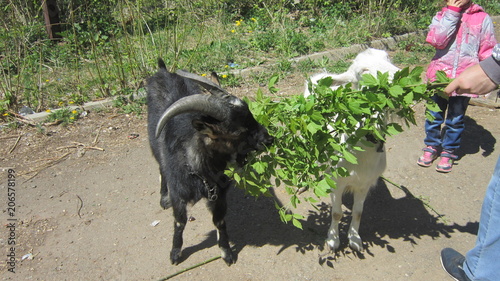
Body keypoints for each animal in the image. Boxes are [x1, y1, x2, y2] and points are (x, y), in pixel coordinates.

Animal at [146, 60, 272, 266]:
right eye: (237, 131)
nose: (269, 139)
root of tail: (163, 70)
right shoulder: (179, 192)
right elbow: (180, 221)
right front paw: (175, 253)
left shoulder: (219, 193)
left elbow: (219, 221)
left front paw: (226, 252)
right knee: (160, 166)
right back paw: (163, 197)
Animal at [304, 47, 398, 250]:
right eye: (364, 71)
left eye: (388, 57)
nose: (398, 76)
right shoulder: (337, 182)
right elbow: (336, 213)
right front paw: (333, 239)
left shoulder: (364, 184)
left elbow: (358, 213)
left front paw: (354, 239)